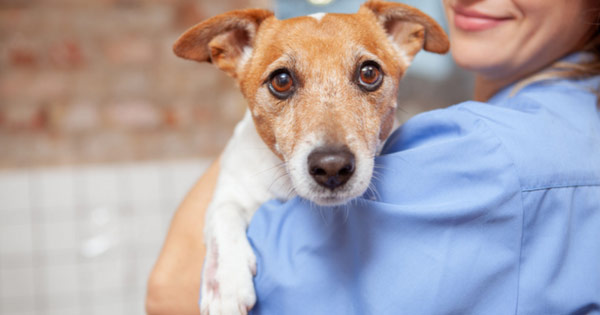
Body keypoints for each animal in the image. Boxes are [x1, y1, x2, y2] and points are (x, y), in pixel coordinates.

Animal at [171, 1, 448, 314]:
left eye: (369, 73)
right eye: (281, 80)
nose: (332, 167)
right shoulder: (230, 191)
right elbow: (224, 218)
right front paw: (226, 285)